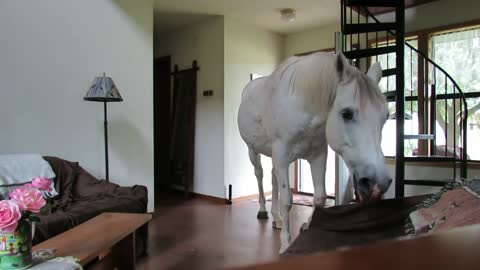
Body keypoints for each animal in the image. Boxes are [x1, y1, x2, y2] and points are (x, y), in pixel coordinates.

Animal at [238, 52, 392, 253]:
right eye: (347, 114)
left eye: (385, 117)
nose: (379, 183)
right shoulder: (281, 155)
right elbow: (287, 200)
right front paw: (285, 244)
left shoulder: (317, 156)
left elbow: (319, 198)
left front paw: (305, 227)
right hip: (253, 151)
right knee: (259, 175)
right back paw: (263, 211)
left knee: (273, 178)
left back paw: (276, 218)